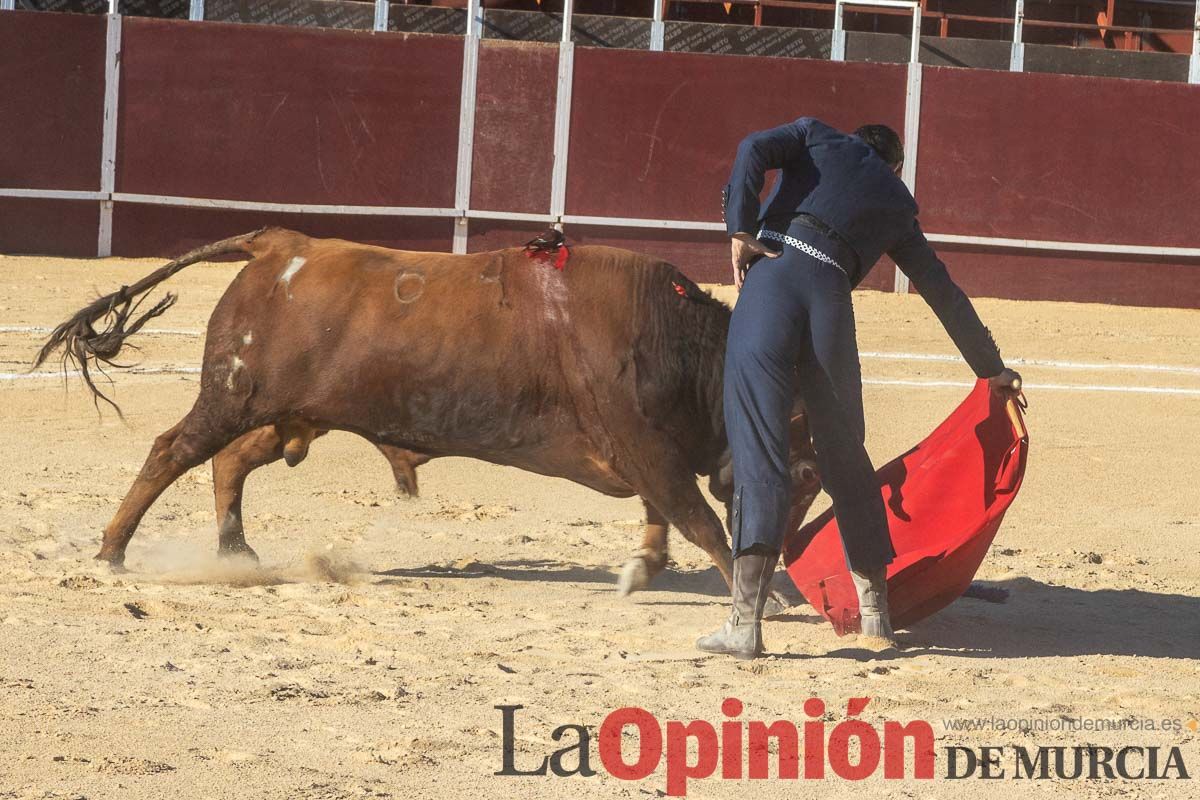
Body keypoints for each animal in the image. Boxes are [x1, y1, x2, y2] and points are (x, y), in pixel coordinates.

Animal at [32, 227, 820, 604]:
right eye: (805, 470)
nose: (785, 554)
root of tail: (281, 244)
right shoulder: (645, 446)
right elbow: (699, 519)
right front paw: (761, 597)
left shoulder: (648, 452)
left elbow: (667, 515)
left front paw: (644, 571)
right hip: (231, 395)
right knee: (172, 450)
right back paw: (112, 551)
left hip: (290, 413)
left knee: (231, 458)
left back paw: (234, 549)